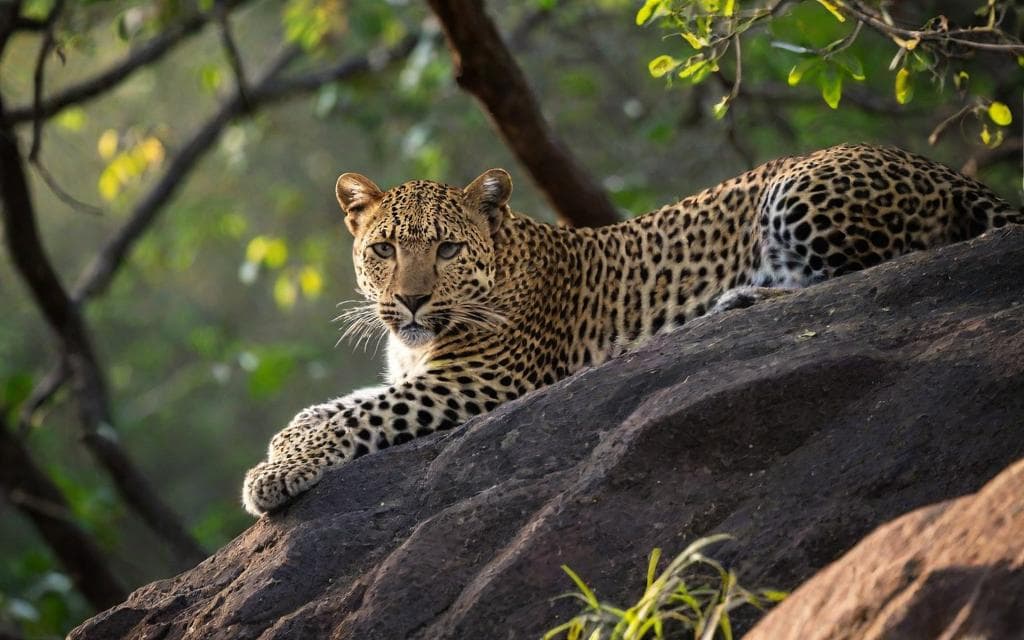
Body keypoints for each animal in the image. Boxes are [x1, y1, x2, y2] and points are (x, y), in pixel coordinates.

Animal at [242, 143, 1021, 516]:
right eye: (383, 249)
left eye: (449, 249)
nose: (408, 301)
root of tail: (937, 166)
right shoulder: (423, 374)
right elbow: (325, 409)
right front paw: (278, 455)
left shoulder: (478, 381)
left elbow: (347, 416)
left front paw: (270, 474)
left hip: (800, 191)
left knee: (884, 261)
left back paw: (740, 298)